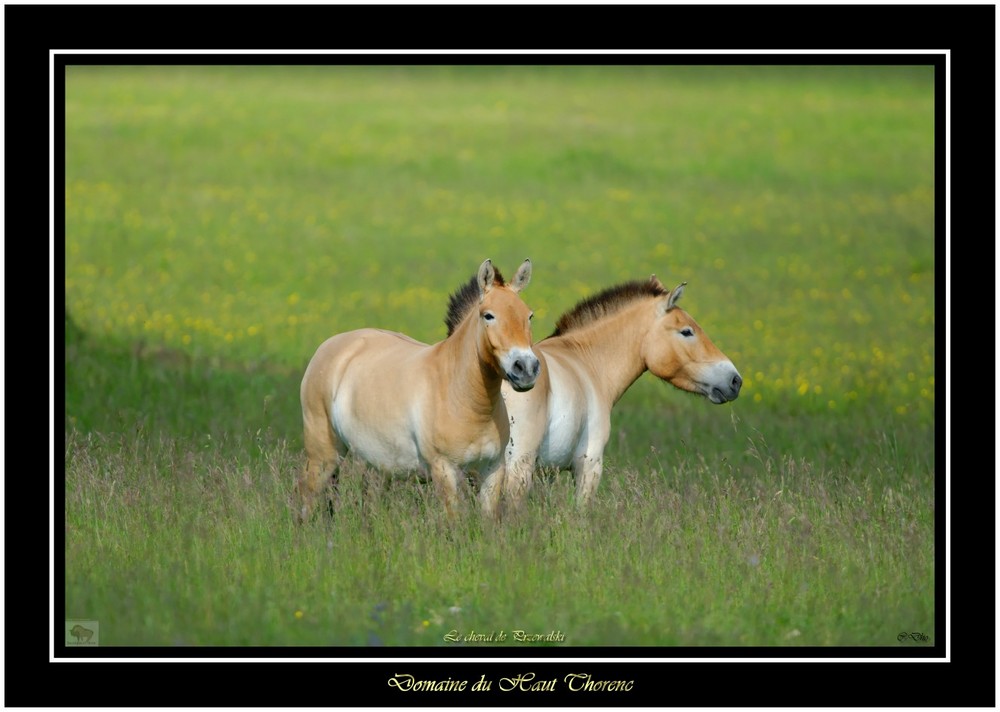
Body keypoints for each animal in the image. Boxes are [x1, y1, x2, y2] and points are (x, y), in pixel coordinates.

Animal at [296, 258, 540, 520]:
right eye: (489, 316)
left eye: (529, 316)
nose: (526, 368)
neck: (461, 396)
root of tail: (329, 346)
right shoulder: (444, 470)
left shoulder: (493, 470)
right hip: (323, 456)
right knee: (307, 501)